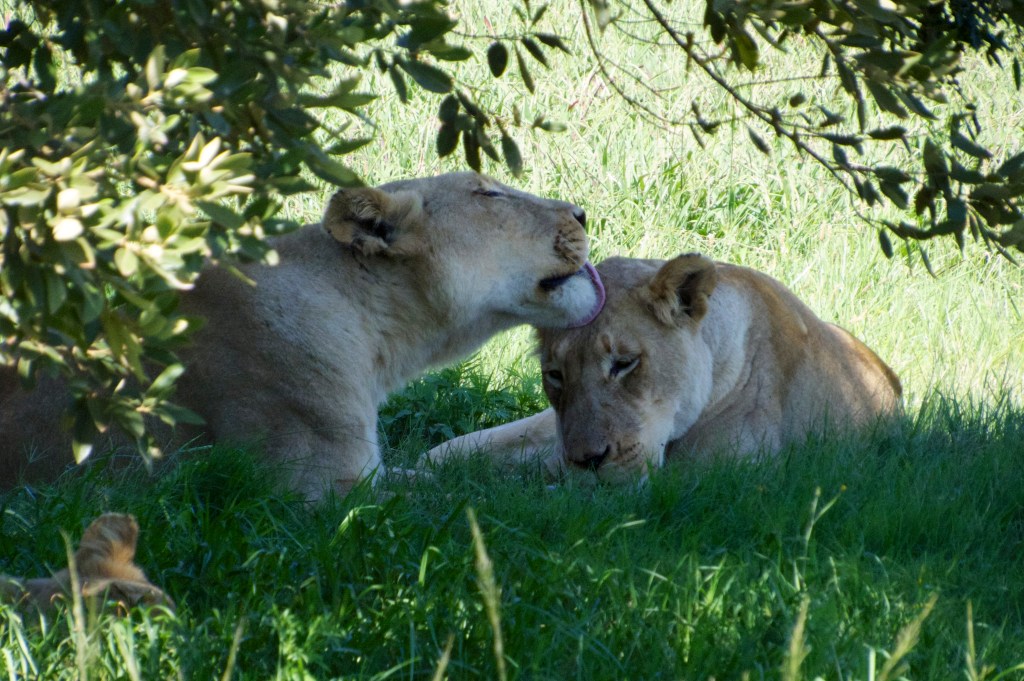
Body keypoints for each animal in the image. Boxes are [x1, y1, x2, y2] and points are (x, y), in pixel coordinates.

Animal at [0, 173, 605, 498]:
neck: (379, 337)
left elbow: (459, 476)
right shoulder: (320, 492)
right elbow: (461, 500)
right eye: (488, 195)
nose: (582, 212)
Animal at [423, 253, 901, 483]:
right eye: (555, 375)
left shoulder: (714, 477)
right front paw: (419, 474)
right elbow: (456, 449)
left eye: (624, 364)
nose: (587, 461)